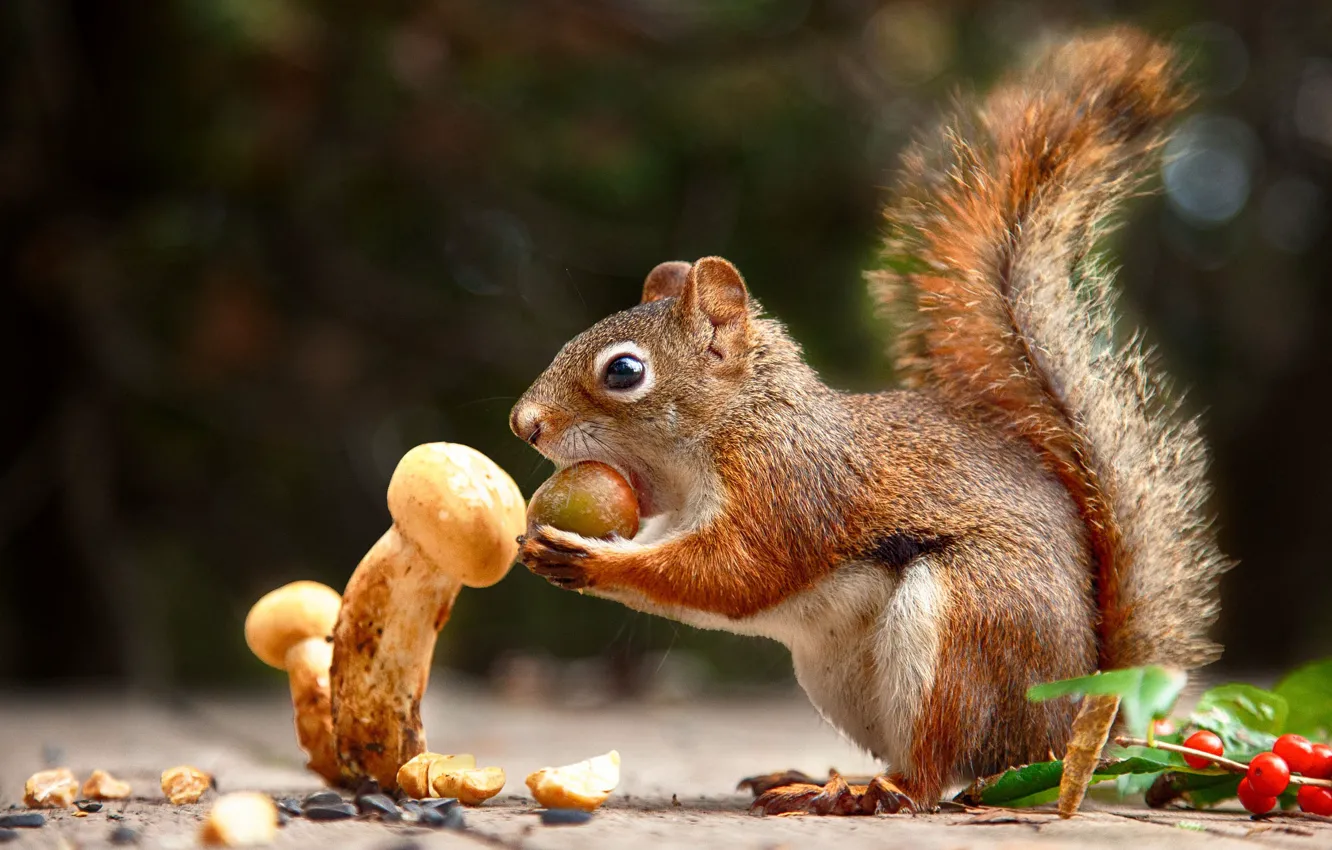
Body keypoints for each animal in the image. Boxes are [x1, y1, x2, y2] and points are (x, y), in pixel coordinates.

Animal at [510, 27, 1229, 813]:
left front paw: (587, 557)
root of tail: (1066, 723)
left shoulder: (789, 487)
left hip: (968, 621)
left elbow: (731, 574)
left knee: (933, 774)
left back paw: (864, 792)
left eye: (624, 372)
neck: (736, 424)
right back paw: (816, 776)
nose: (523, 423)